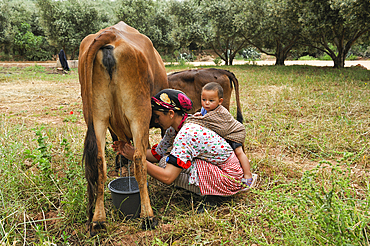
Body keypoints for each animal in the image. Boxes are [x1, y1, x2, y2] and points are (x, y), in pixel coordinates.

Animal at [79, 21, 169, 236]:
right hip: (138, 111)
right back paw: (148, 217)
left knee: (99, 162)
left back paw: (98, 220)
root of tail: (110, 33)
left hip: (96, 115)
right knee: (139, 160)